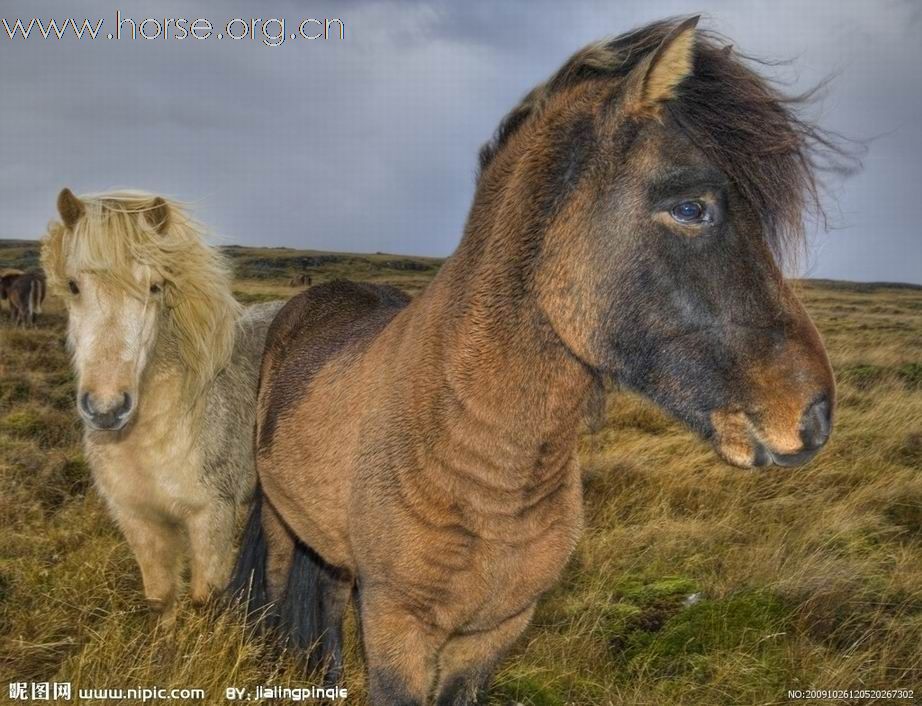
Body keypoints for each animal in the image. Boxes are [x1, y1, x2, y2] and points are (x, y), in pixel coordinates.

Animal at [44, 187, 280, 616]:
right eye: (72, 285)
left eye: (155, 286)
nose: (107, 409)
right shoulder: (138, 519)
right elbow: (161, 599)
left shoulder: (212, 517)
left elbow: (204, 601)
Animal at [230, 17, 848, 704]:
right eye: (691, 207)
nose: (814, 416)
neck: (481, 458)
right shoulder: (396, 624)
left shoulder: (496, 631)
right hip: (282, 523)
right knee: (282, 587)